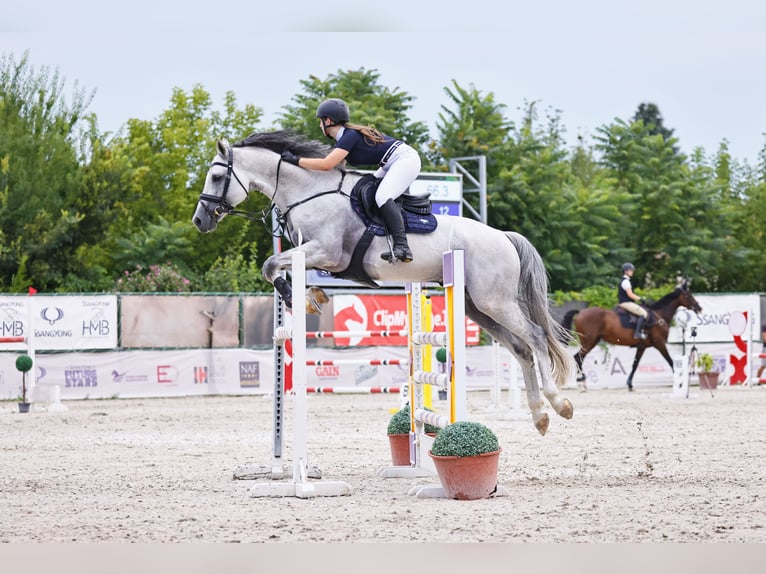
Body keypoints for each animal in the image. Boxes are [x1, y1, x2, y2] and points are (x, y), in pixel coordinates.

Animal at [192, 132, 576, 436]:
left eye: (215, 176)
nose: (199, 220)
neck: (308, 192)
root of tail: (503, 236)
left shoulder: (327, 252)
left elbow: (270, 264)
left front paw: (300, 298)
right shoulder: (317, 257)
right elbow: (276, 267)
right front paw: (311, 296)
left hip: (494, 301)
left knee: (535, 338)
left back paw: (559, 403)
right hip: (476, 306)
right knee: (521, 348)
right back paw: (539, 416)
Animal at [560, 282, 704, 392]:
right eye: (688, 295)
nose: (699, 308)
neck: (659, 315)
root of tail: (581, 312)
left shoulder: (642, 346)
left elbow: (635, 364)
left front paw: (630, 385)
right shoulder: (660, 344)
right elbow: (670, 361)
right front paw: (681, 381)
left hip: (593, 341)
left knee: (578, 358)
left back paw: (581, 382)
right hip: (588, 342)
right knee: (578, 358)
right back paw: (582, 383)